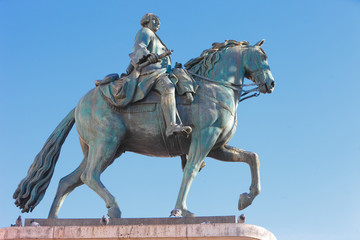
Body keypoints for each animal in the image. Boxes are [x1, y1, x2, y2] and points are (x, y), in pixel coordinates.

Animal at [12, 39, 274, 218]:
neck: (213, 88)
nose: (271, 83)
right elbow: (190, 170)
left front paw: (246, 198)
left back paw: (52, 220)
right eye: (263, 56)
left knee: (68, 181)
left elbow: (253, 157)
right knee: (89, 176)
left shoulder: (217, 146)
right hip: (107, 144)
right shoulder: (205, 138)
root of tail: (80, 103)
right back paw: (114, 209)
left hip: (101, 149)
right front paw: (180, 210)